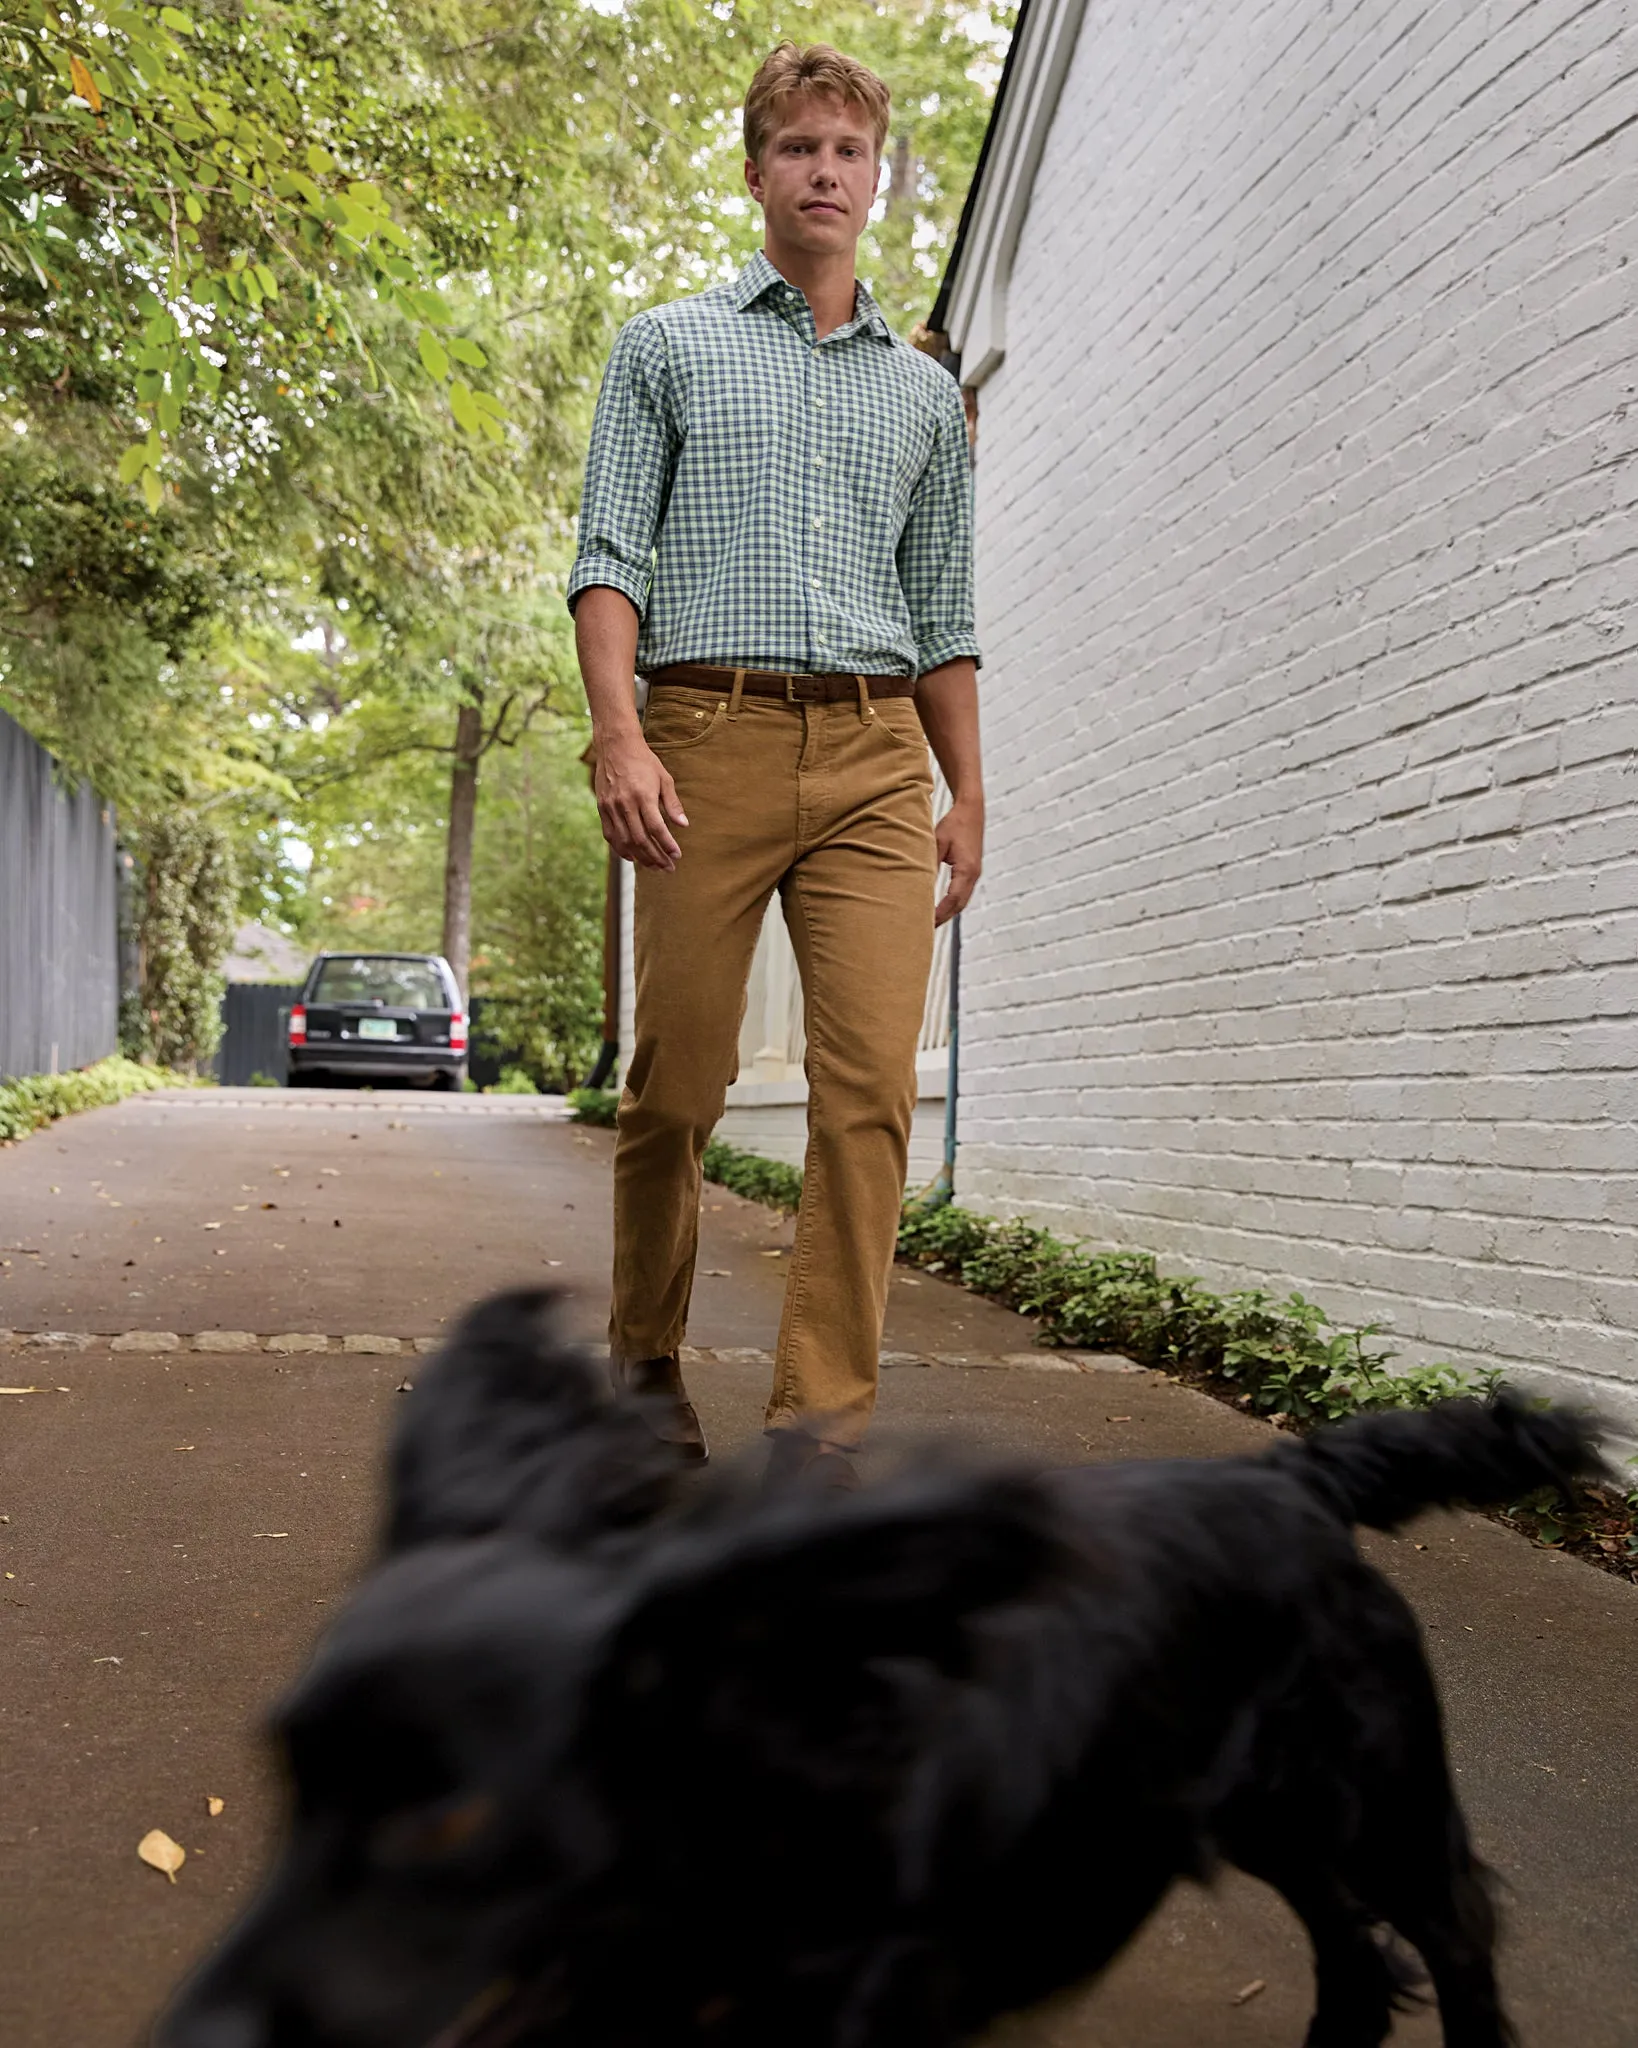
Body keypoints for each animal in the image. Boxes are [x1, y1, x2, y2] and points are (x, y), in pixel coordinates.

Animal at [156, 1294, 1597, 2048]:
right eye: (287, 1787)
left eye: (449, 1824)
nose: (195, 2039)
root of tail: (1289, 1474)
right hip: (1246, 1811)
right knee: (1353, 1950)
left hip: (1378, 1802)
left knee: (1450, 1935)